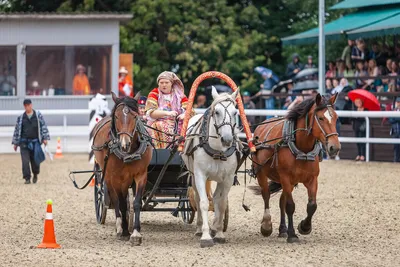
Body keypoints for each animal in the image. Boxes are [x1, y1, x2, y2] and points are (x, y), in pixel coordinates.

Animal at [91, 92, 152, 247]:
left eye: (135, 116)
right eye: (117, 116)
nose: (125, 144)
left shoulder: (141, 175)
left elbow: (136, 203)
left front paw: (136, 233)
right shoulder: (116, 178)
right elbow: (122, 204)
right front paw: (124, 231)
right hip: (108, 177)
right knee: (115, 199)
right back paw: (119, 226)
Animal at [182, 87, 241, 248]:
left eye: (235, 112)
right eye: (217, 112)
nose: (227, 139)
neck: (218, 151)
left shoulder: (227, 179)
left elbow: (221, 203)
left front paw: (219, 233)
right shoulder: (200, 175)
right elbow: (202, 203)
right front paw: (206, 236)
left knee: (215, 198)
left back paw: (214, 228)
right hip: (194, 176)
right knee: (197, 199)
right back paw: (199, 228)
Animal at [252, 93, 340, 244]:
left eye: (336, 117)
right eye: (321, 118)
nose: (335, 147)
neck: (302, 148)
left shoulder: (312, 179)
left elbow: (312, 205)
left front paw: (304, 227)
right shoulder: (286, 178)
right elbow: (290, 206)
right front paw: (292, 235)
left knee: (281, 201)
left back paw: (282, 229)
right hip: (261, 173)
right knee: (266, 195)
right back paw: (267, 226)